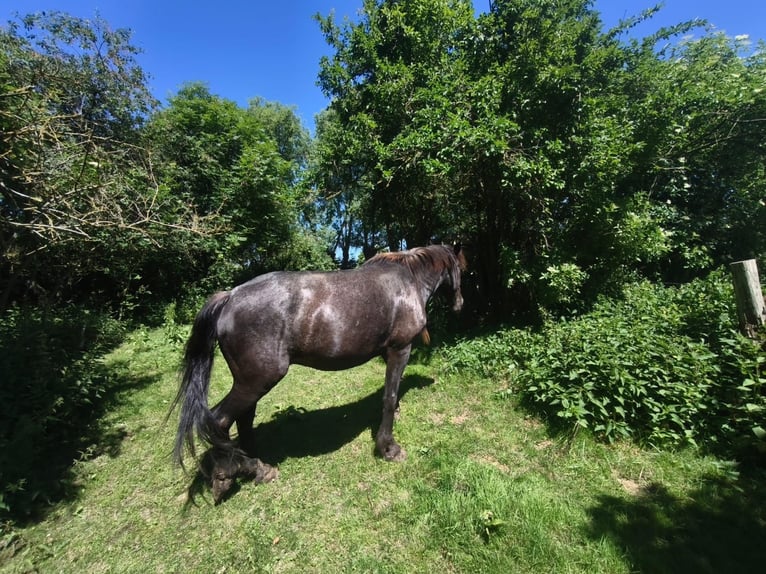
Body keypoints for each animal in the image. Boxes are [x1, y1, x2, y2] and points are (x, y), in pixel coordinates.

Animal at [171, 244, 466, 502]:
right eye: (461, 269)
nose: (460, 304)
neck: (407, 282)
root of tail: (229, 297)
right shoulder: (399, 349)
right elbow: (389, 397)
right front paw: (389, 448)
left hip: (249, 383)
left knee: (243, 419)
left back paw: (254, 464)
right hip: (256, 381)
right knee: (220, 421)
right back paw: (237, 471)